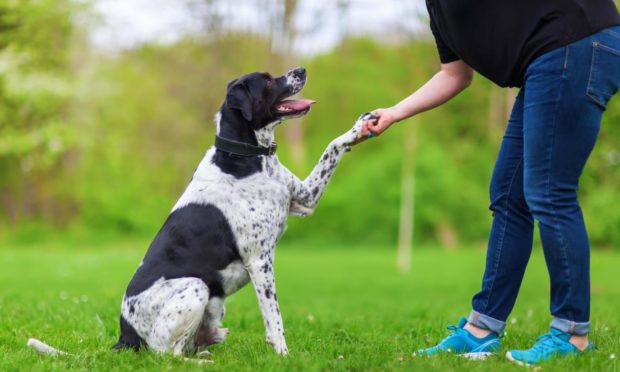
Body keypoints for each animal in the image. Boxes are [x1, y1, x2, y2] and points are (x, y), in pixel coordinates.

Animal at [25, 66, 368, 358]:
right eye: (268, 80)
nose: (301, 70)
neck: (246, 156)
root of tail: (125, 337)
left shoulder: (305, 200)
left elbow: (332, 147)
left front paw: (360, 127)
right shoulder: (260, 260)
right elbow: (274, 318)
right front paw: (283, 355)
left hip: (212, 306)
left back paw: (208, 346)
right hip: (195, 287)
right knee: (168, 355)